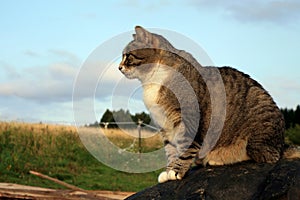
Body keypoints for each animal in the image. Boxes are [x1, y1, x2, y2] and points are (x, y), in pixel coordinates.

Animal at [118, 25, 286, 184]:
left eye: (128, 56)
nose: (119, 68)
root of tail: (281, 145)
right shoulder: (165, 125)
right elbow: (171, 149)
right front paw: (169, 170)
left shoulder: (189, 118)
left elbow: (185, 147)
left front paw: (176, 171)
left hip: (256, 137)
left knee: (267, 157)